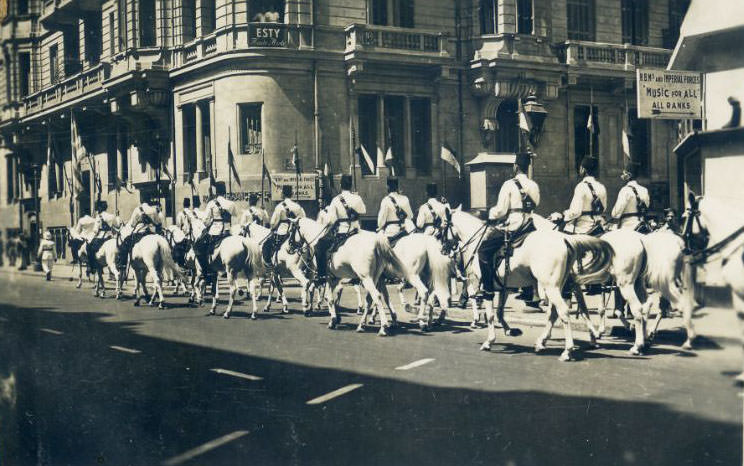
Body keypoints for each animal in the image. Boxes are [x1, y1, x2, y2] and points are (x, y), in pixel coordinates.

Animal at [450, 209, 612, 362]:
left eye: (444, 225)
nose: (446, 251)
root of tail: (565, 240)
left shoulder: (485, 286)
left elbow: (489, 314)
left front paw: (488, 340)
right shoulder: (505, 287)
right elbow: (500, 311)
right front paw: (510, 330)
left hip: (552, 287)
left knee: (564, 311)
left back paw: (567, 350)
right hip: (562, 285)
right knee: (566, 311)